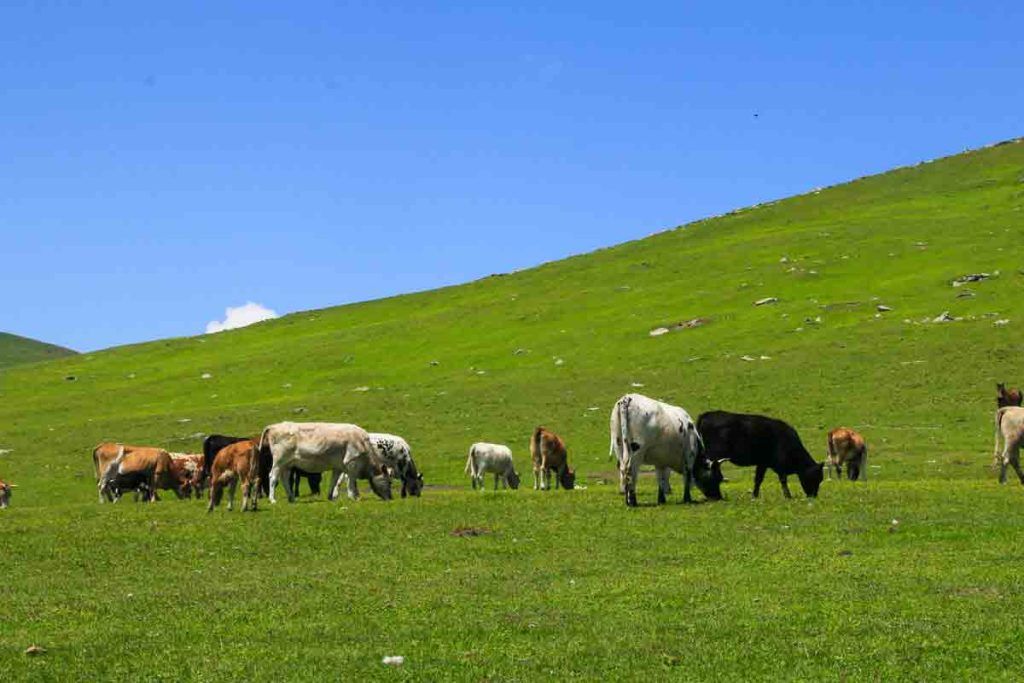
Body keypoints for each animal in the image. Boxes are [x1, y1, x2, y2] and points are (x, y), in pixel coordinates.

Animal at [260, 419, 391, 505]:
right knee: (272, 477)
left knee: (285, 479)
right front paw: (353, 497)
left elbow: (334, 481)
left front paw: (330, 497)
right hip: (279, 460)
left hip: (288, 464)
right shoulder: (351, 462)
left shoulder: (338, 466)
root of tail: (274, 426)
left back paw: (291, 498)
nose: (391, 498)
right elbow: (351, 481)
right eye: (389, 481)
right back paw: (272, 499)